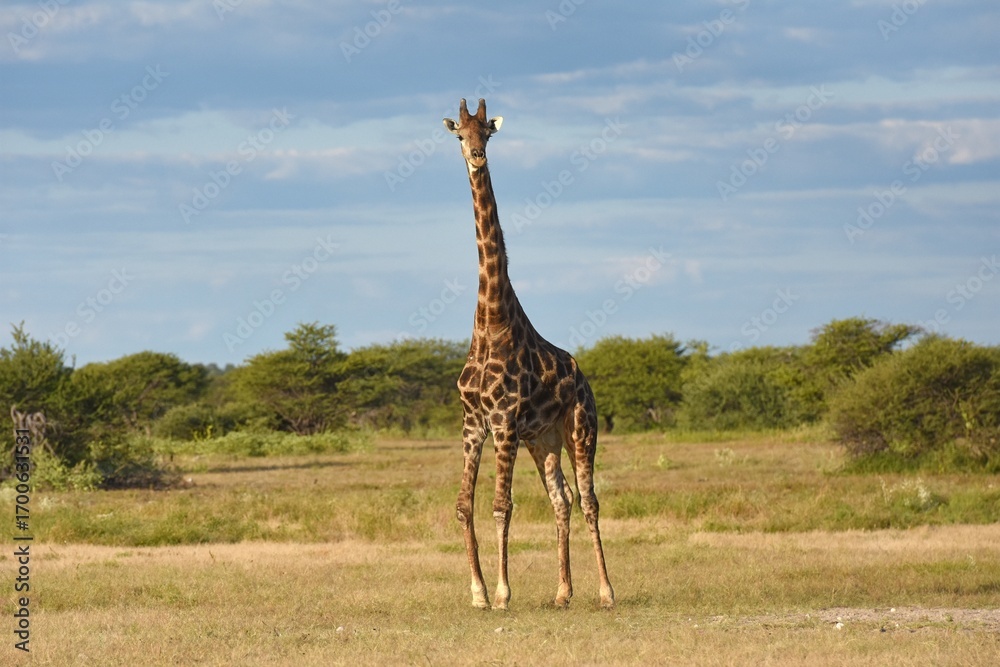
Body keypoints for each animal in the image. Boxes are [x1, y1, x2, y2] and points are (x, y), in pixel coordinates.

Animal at [443, 98, 615, 610]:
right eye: (460, 134)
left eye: (488, 133)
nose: (477, 156)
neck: (490, 321)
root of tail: (583, 377)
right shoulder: (472, 424)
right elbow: (464, 506)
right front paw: (478, 593)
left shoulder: (503, 423)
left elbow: (502, 505)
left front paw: (502, 592)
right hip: (544, 441)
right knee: (562, 498)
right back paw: (562, 592)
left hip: (581, 428)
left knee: (590, 499)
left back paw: (606, 592)